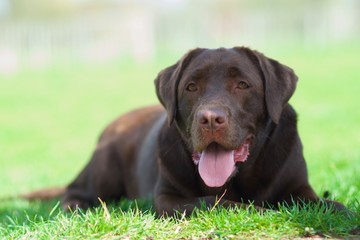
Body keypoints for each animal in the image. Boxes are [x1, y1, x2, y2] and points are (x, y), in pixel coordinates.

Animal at [62, 47, 346, 216]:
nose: (210, 119)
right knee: (74, 191)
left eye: (243, 84)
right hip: (104, 171)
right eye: (191, 87)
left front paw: (339, 209)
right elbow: (215, 201)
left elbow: (326, 204)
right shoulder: (168, 198)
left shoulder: (298, 186)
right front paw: (265, 211)